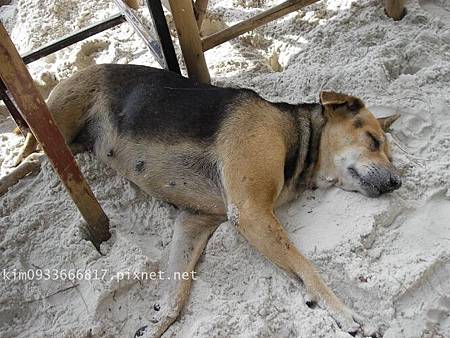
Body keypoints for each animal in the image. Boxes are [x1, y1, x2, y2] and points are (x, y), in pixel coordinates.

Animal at [14, 64, 400, 336]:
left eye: (389, 151)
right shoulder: (250, 213)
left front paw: (157, 324)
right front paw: (346, 314)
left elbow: (177, 291)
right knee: (29, 153)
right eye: (373, 141)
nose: (397, 182)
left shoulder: (196, 220)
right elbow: (307, 267)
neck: (296, 136)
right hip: (57, 125)